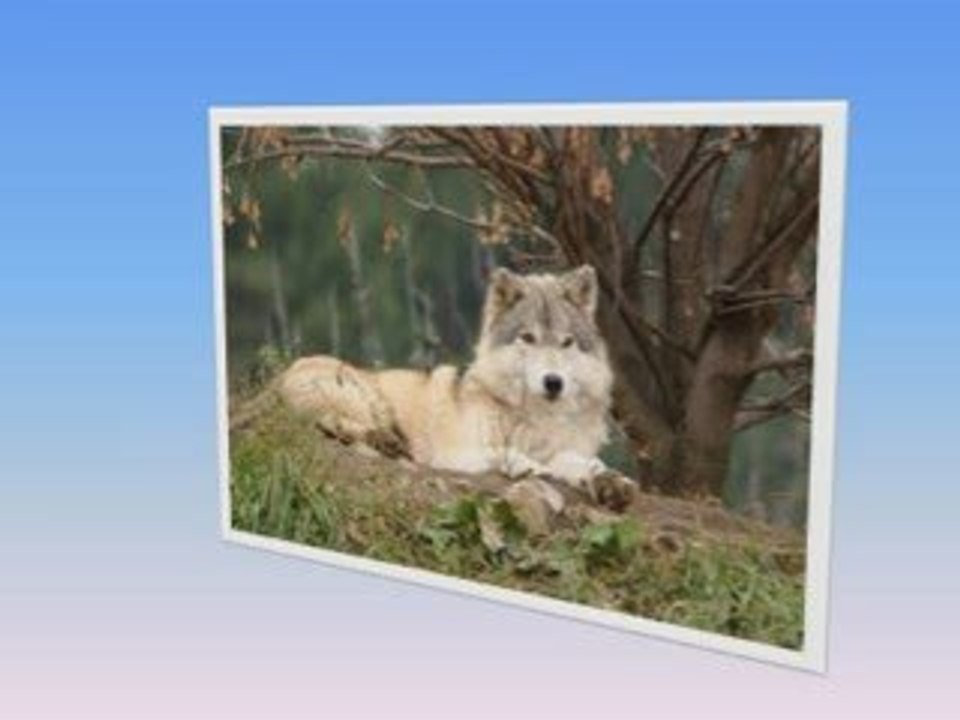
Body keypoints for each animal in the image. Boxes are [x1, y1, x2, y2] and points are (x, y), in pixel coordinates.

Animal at [273, 265, 635, 507]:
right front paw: (525, 465)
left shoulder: (563, 451)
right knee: (331, 423)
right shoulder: (454, 453)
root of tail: (275, 381)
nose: (553, 382)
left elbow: (580, 463)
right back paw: (387, 444)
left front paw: (608, 481)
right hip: (358, 394)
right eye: (528, 338)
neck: (535, 419)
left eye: (566, 342)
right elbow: (503, 452)